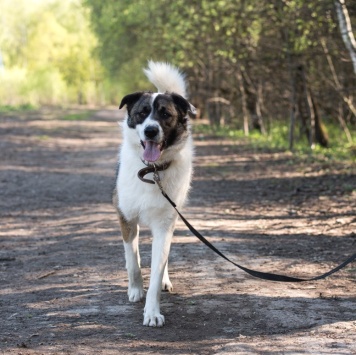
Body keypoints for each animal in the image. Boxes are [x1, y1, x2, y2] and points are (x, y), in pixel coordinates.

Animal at [113, 62, 195, 328]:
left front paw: (152, 311)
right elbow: (133, 262)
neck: (152, 170)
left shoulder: (165, 223)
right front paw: (136, 290)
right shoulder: (126, 218)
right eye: (142, 113)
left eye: (165, 114)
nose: (150, 131)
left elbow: (157, 269)